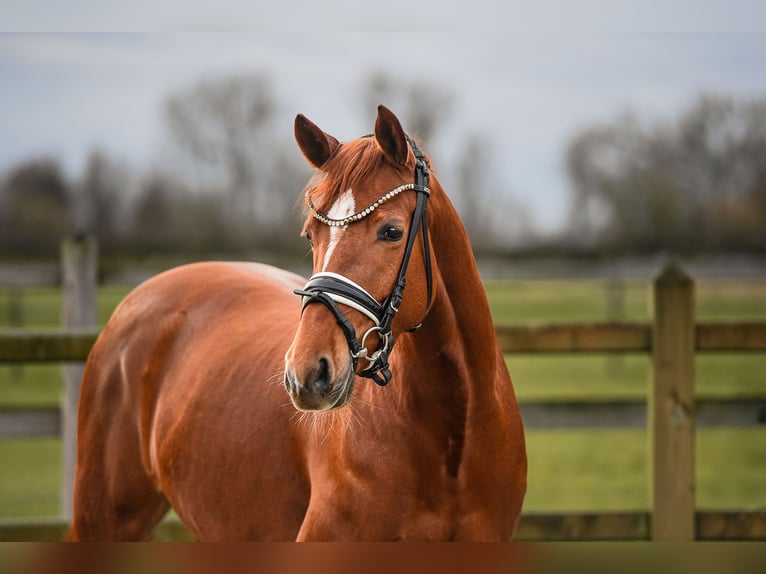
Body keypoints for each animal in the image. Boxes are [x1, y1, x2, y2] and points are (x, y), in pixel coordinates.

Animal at [67, 106, 528, 544]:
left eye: (392, 231)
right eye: (310, 235)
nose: (307, 373)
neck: (454, 439)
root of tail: (138, 299)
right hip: (104, 518)